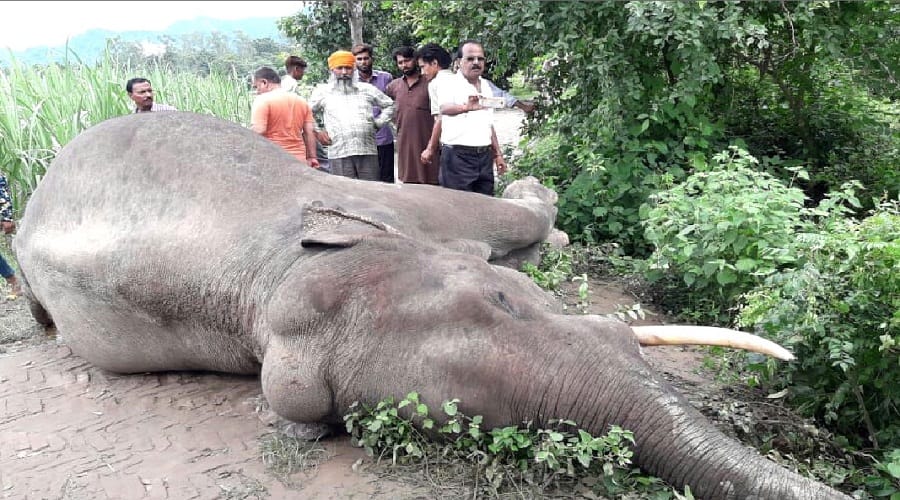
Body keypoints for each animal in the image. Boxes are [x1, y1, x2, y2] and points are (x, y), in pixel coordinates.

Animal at [14, 112, 848, 499]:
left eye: (506, 299)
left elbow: (490, 212)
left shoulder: (385, 202)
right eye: (497, 423)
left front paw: (545, 213)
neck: (282, 274)